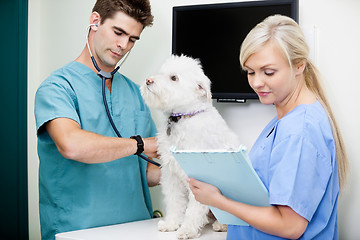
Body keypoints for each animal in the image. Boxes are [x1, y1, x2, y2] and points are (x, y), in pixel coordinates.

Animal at [141, 55, 242, 239]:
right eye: (161, 72)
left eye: (174, 78)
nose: (148, 80)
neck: (184, 117)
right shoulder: (171, 175)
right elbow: (175, 202)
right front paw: (171, 224)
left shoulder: (200, 180)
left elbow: (194, 209)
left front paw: (187, 230)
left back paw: (221, 225)